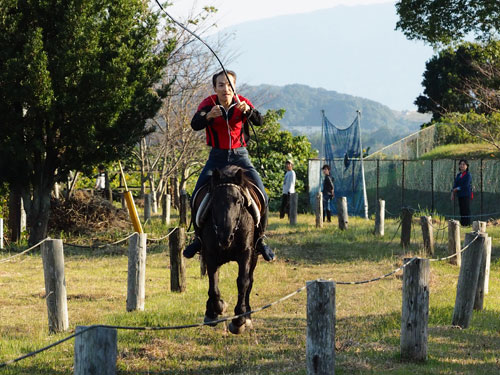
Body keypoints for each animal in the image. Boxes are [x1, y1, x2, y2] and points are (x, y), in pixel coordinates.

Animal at [199, 167, 262, 334]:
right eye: (214, 201)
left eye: (239, 201)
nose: (224, 236)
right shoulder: (210, 254)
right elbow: (213, 284)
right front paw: (215, 310)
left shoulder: (246, 253)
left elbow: (243, 282)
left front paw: (239, 320)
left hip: (254, 256)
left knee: (250, 281)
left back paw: (247, 316)